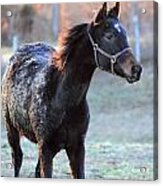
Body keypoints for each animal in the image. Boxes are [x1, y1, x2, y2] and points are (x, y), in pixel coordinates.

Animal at [1, 1, 141, 179]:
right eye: (109, 35)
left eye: (124, 34)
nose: (136, 70)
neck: (61, 100)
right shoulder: (46, 148)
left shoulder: (76, 148)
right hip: (11, 130)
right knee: (17, 159)